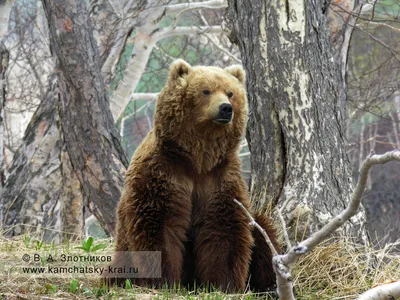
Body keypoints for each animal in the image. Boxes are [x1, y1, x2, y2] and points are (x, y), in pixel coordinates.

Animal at [104, 59, 280, 292]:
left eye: (230, 92)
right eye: (206, 90)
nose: (226, 108)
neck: (198, 159)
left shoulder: (219, 177)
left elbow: (224, 227)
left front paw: (222, 283)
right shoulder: (164, 171)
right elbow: (159, 224)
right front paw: (165, 280)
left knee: (261, 232)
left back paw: (269, 284)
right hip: (122, 255)